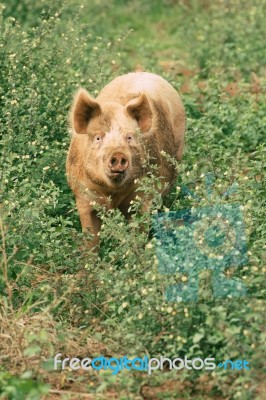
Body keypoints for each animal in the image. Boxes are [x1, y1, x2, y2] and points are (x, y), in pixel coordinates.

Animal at [65, 71, 185, 247]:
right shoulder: (83, 195)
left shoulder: (142, 195)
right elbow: (90, 237)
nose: (118, 154)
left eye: (129, 137)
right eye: (98, 138)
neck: (112, 193)